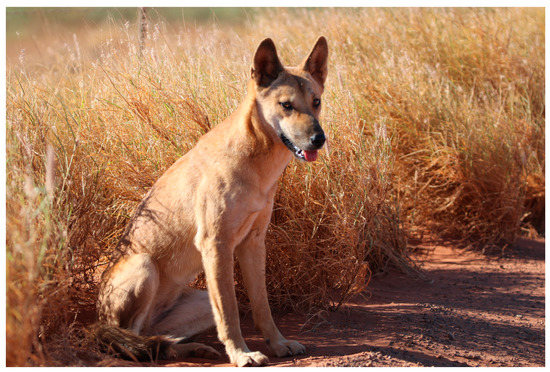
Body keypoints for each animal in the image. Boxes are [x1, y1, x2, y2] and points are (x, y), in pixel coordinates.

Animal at [96, 36, 328, 364]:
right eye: (287, 105)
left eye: (316, 102)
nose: (319, 139)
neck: (257, 164)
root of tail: (97, 321)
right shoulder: (215, 244)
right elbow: (229, 313)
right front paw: (242, 354)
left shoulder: (253, 243)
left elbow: (262, 307)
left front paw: (278, 343)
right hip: (144, 265)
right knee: (133, 339)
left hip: (199, 303)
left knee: (156, 339)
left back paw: (191, 348)